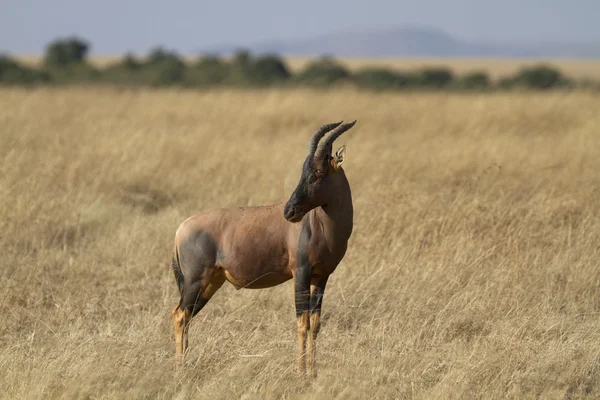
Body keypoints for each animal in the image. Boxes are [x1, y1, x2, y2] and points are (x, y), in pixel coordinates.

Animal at [169, 120, 356, 376]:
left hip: (210, 283)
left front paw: (313, 372)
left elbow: (315, 323)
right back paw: (179, 368)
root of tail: (181, 229)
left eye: (318, 172)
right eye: (304, 171)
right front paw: (301, 373)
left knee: (187, 315)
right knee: (179, 315)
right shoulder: (301, 272)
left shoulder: (321, 276)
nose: (289, 211)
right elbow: (302, 322)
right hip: (195, 281)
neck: (317, 223)